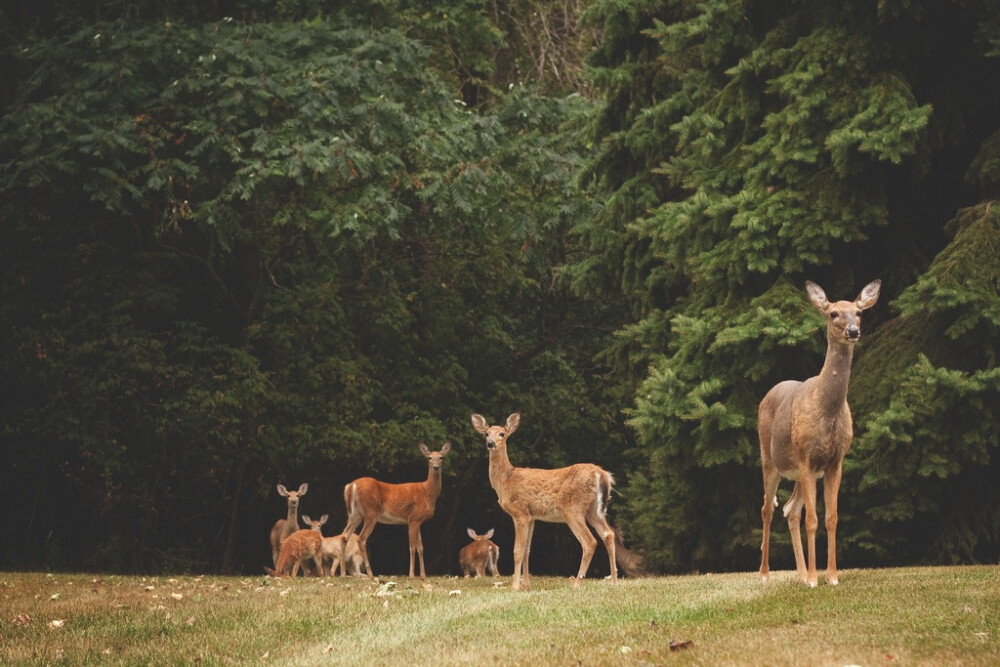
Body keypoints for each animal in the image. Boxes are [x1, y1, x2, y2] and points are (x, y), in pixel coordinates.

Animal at [344, 440, 454, 576]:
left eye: (441, 457)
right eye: (429, 458)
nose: (436, 467)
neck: (428, 492)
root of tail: (351, 486)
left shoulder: (418, 520)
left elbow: (421, 547)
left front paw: (423, 575)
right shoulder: (413, 518)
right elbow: (412, 547)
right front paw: (411, 574)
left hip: (355, 514)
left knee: (344, 536)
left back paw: (342, 573)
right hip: (371, 512)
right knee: (361, 539)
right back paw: (370, 574)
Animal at [470, 414, 616, 592]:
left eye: (502, 434)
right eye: (486, 433)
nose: (490, 443)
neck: (505, 481)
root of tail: (601, 474)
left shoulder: (520, 512)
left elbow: (518, 550)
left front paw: (515, 586)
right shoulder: (532, 516)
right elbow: (527, 550)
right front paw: (526, 585)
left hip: (573, 509)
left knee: (589, 542)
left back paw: (577, 583)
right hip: (593, 510)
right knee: (608, 534)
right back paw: (614, 581)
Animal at [756, 280, 884, 588]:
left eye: (859, 312)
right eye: (833, 313)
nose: (853, 331)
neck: (827, 410)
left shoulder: (835, 460)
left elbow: (831, 518)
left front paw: (832, 576)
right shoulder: (804, 456)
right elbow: (812, 519)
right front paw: (816, 579)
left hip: (804, 474)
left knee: (790, 509)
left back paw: (801, 575)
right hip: (770, 459)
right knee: (768, 509)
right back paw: (765, 574)